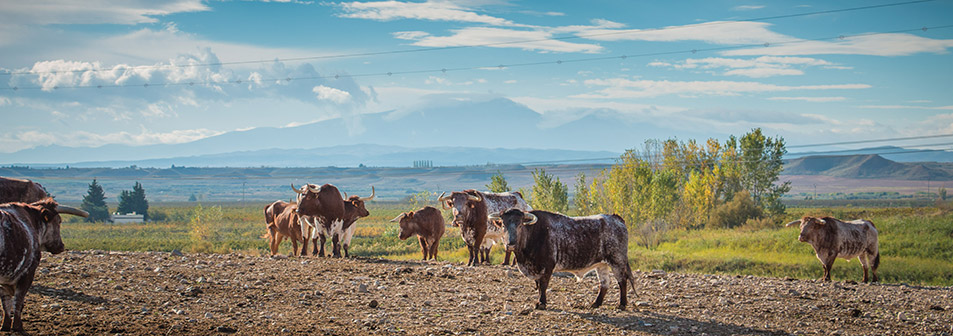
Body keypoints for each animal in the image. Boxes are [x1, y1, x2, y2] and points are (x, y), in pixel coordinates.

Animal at [494, 209, 636, 312]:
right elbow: (539, 285)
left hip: (617, 260)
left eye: (519, 225)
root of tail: (615, 218)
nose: (510, 244)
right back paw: (596, 303)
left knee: (622, 281)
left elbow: (543, 285)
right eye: (503, 226)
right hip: (602, 264)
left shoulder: (547, 267)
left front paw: (541, 303)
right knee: (605, 283)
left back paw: (622, 304)